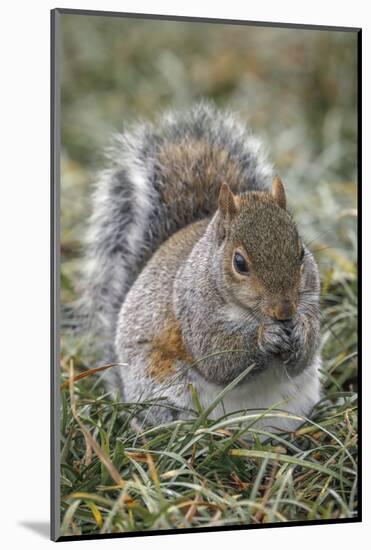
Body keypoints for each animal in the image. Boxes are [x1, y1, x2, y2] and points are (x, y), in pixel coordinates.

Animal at [80, 101, 322, 434]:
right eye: (239, 263)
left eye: (300, 253)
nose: (285, 311)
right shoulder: (193, 311)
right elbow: (218, 358)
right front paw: (265, 338)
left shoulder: (310, 301)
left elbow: (304, 355)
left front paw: (299, 332)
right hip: (159, 386)